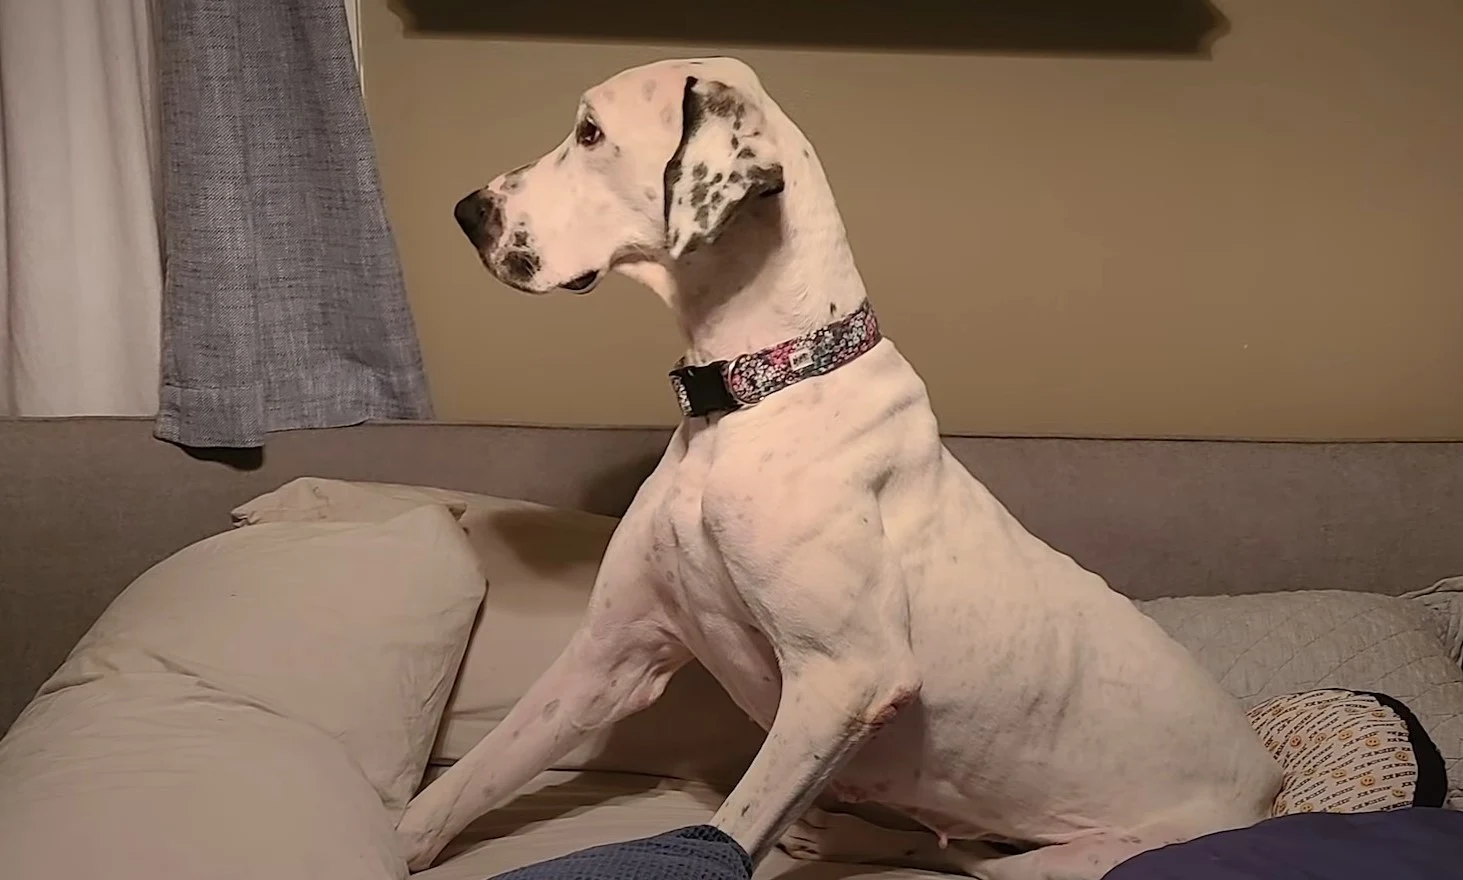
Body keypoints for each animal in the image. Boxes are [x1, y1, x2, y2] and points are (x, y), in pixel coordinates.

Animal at [400, 58, 1281, 871]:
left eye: (589, 133)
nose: (465, 212)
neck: (760, 386)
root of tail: (1270, 785)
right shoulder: (612, 654)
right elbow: (467, 779)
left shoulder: (845, 681)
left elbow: (727, 831)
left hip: (1064, 862)